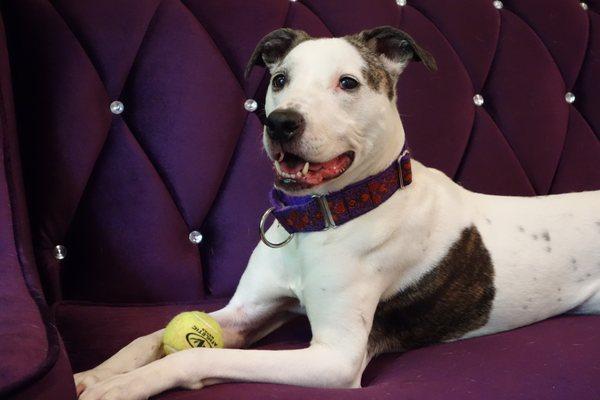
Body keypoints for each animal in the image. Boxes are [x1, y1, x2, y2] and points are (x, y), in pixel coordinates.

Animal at [74, 26, 600, 398]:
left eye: (347, 83)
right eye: (279, 80)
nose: (280, 122)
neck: (317, 222)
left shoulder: (334, 357)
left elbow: (193, 358)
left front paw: (122, 387)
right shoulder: (247, 311)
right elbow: (149, 337)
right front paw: (91, 375)